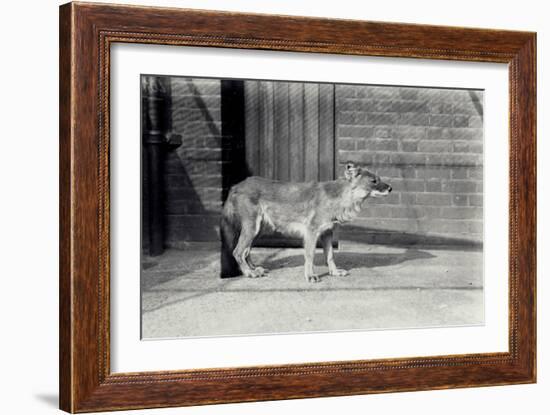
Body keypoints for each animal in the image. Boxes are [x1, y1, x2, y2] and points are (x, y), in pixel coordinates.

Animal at [220, 162, 392, 282]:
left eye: (379, 179)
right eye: (374, 181)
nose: (391, 188)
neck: (338, 197)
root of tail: (236, 185)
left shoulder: (327, 233)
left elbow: (330, 256)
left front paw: (334, 272)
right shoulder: (312, 232)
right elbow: (310, 256)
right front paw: (310, 276)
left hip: (258, 230)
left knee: (246, 251)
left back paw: (255, 269)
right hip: (252, 228)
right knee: (238, 251)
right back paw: (249, 273)